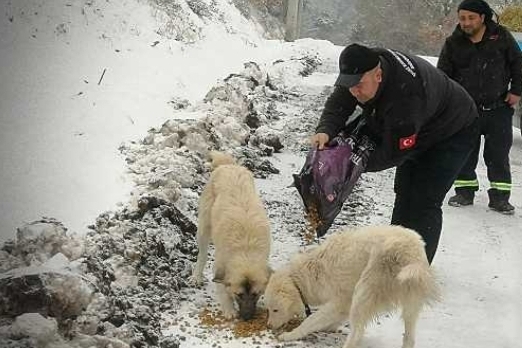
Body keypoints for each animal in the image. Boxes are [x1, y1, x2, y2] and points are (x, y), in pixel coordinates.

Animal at [189, 151, 270, 320]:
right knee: (202, 254)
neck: (245, 249)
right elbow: (222, 289)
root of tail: (228, 165)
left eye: (255, 294)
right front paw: (229, 309)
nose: (247, 317)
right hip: (204, 227)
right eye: (239, 295)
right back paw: (196, 277)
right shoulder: (220, 266)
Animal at [264, 226, 438, 348]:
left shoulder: (340, 300)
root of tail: (410, 255)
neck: (304, 277)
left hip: (364, 290)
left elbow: (312, 320)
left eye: (275, 310)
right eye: (269, 310)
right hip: (410, 302)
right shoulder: (345, 303)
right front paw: (329, 326)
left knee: (357, 333)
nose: (269, 326)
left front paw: (290, 335)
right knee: (409, 336)